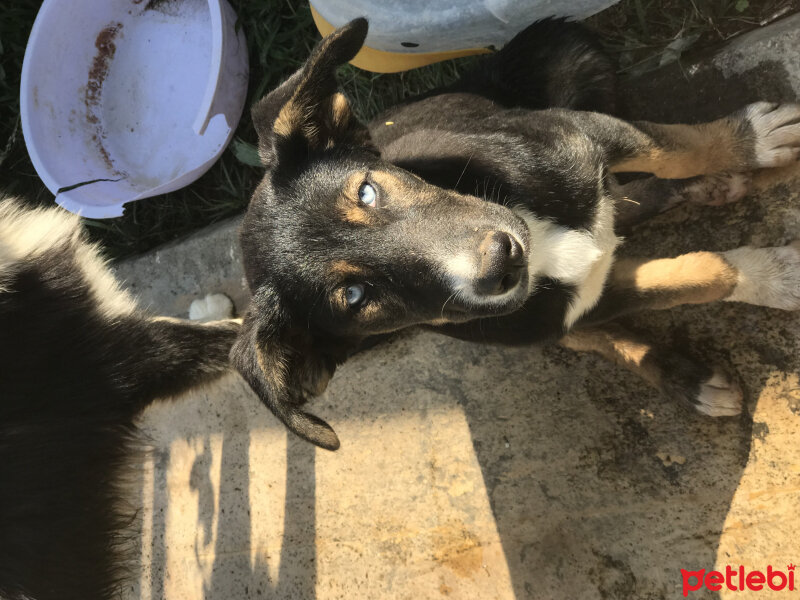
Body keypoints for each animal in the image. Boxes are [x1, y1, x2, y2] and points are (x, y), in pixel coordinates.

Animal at [230, 16, 800, 452]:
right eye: (354, 296)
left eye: (367, 192)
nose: (501, 262)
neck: (539, 238)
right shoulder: (570, 302)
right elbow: (699, 274)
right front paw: (776, 276)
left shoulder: (581, 132)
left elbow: (676, 150)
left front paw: (752, 143)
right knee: (600, 316)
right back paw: (685, 377)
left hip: (566, 47)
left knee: (633, 190)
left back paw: (717, 181)